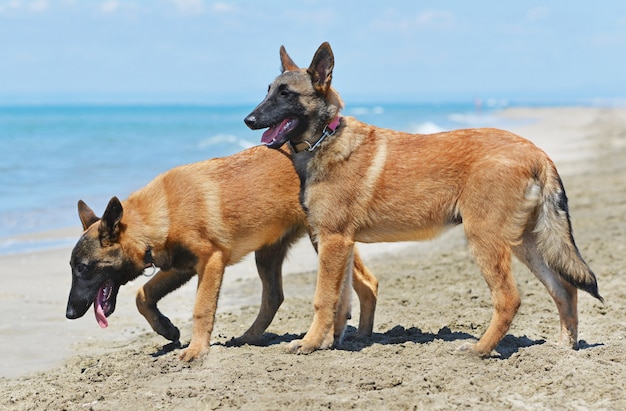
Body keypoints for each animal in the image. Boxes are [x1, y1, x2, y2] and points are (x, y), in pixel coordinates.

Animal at [64, 144, 376, 360]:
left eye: (83, 267)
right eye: (74, 267)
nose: (69, 313)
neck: (162, 214)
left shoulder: (210, 263)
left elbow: (201, 309)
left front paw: (197, 349)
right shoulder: (180, 267)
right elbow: (143, 295)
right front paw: (166, 328)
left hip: (324, 240)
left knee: (367, 282)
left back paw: (360, 335)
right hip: (268, 254)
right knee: (274, 296)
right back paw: (251, 336)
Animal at [244, 42, 600, 358]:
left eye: (286, 94)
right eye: (268, 90)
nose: (248, 120)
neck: (325, 138)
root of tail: (535, 150)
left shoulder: (332, 242)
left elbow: (323, 298)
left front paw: (309, 343)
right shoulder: (338, 244)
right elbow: (341, 299)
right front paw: (328, 342)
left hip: (486, 240)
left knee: (509, 298)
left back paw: (481, 349)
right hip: (525, 243)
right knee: (564, 289)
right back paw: (565, 346)